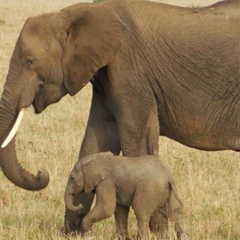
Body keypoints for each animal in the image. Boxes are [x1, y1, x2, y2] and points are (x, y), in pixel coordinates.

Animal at [0, 0, 238, 234]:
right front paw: (71, 234)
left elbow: (135, 140)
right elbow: (97, 139)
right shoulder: (105, 76)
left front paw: (157, 234)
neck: (73, 13)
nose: (41, 173)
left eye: (30, 62)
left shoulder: (129, 70)